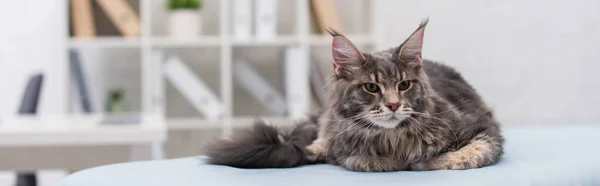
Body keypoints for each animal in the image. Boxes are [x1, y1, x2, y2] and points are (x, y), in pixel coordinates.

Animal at [204, 18, 504, 171]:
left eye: (404, 85)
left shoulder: (484, 126)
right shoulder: (345, 146)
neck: (394, 139)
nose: (393, 105)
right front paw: (393, 161)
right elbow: (358, 159)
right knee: (310, 146)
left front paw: (426, 161)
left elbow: (469, 154)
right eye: (371, 87)